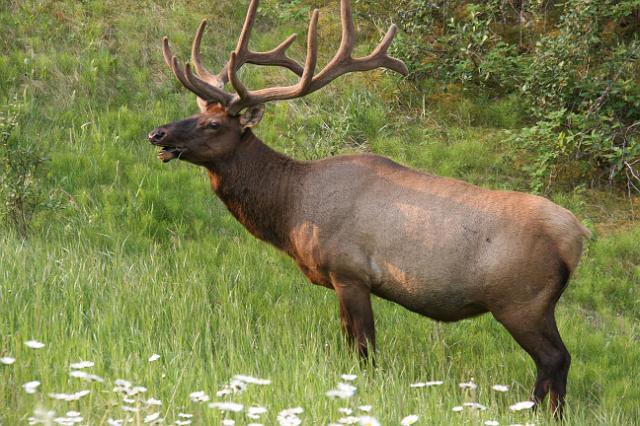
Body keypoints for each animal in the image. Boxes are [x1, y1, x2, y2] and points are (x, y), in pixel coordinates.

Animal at [146, 0, 592, 418]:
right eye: (198, 111)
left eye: (213, 125)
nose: (158, 133)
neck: (292, 210)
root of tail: (577, 236)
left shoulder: (350, 272)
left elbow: (364, 351)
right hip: (537, 304)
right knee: (558, 361)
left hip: (521, 300)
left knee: (554, 359)